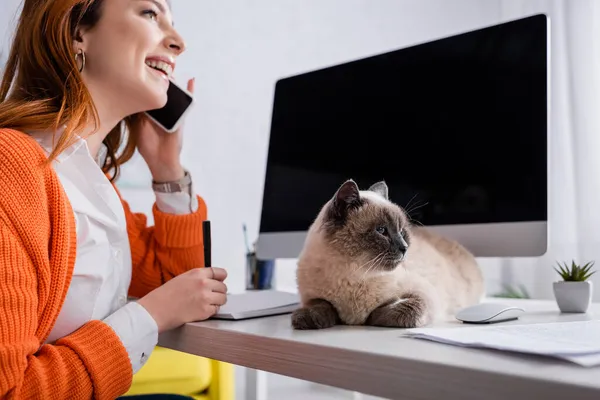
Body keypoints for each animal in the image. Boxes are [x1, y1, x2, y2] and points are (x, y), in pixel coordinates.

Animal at [292, 180, 486, 330]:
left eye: (402, 232)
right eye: (381, 231)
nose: (404, 248)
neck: (353, 274)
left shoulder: (423, 295)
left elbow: (396, 311)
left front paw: (367, 319)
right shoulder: (312, 297)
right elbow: (320, 305)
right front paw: (305, 320)